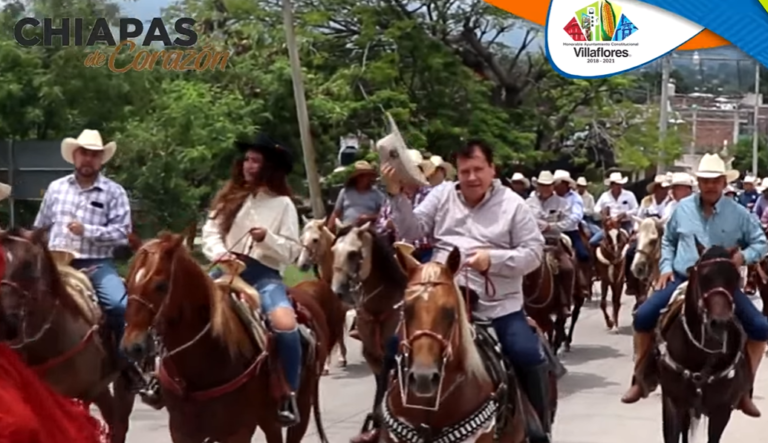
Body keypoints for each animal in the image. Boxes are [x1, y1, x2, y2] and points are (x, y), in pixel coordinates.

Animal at [123, 234, 332, 442]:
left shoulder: (237, 432)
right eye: (127, 283)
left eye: (161, 285)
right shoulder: (181, 431)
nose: (131, 347)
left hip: (302, 407)